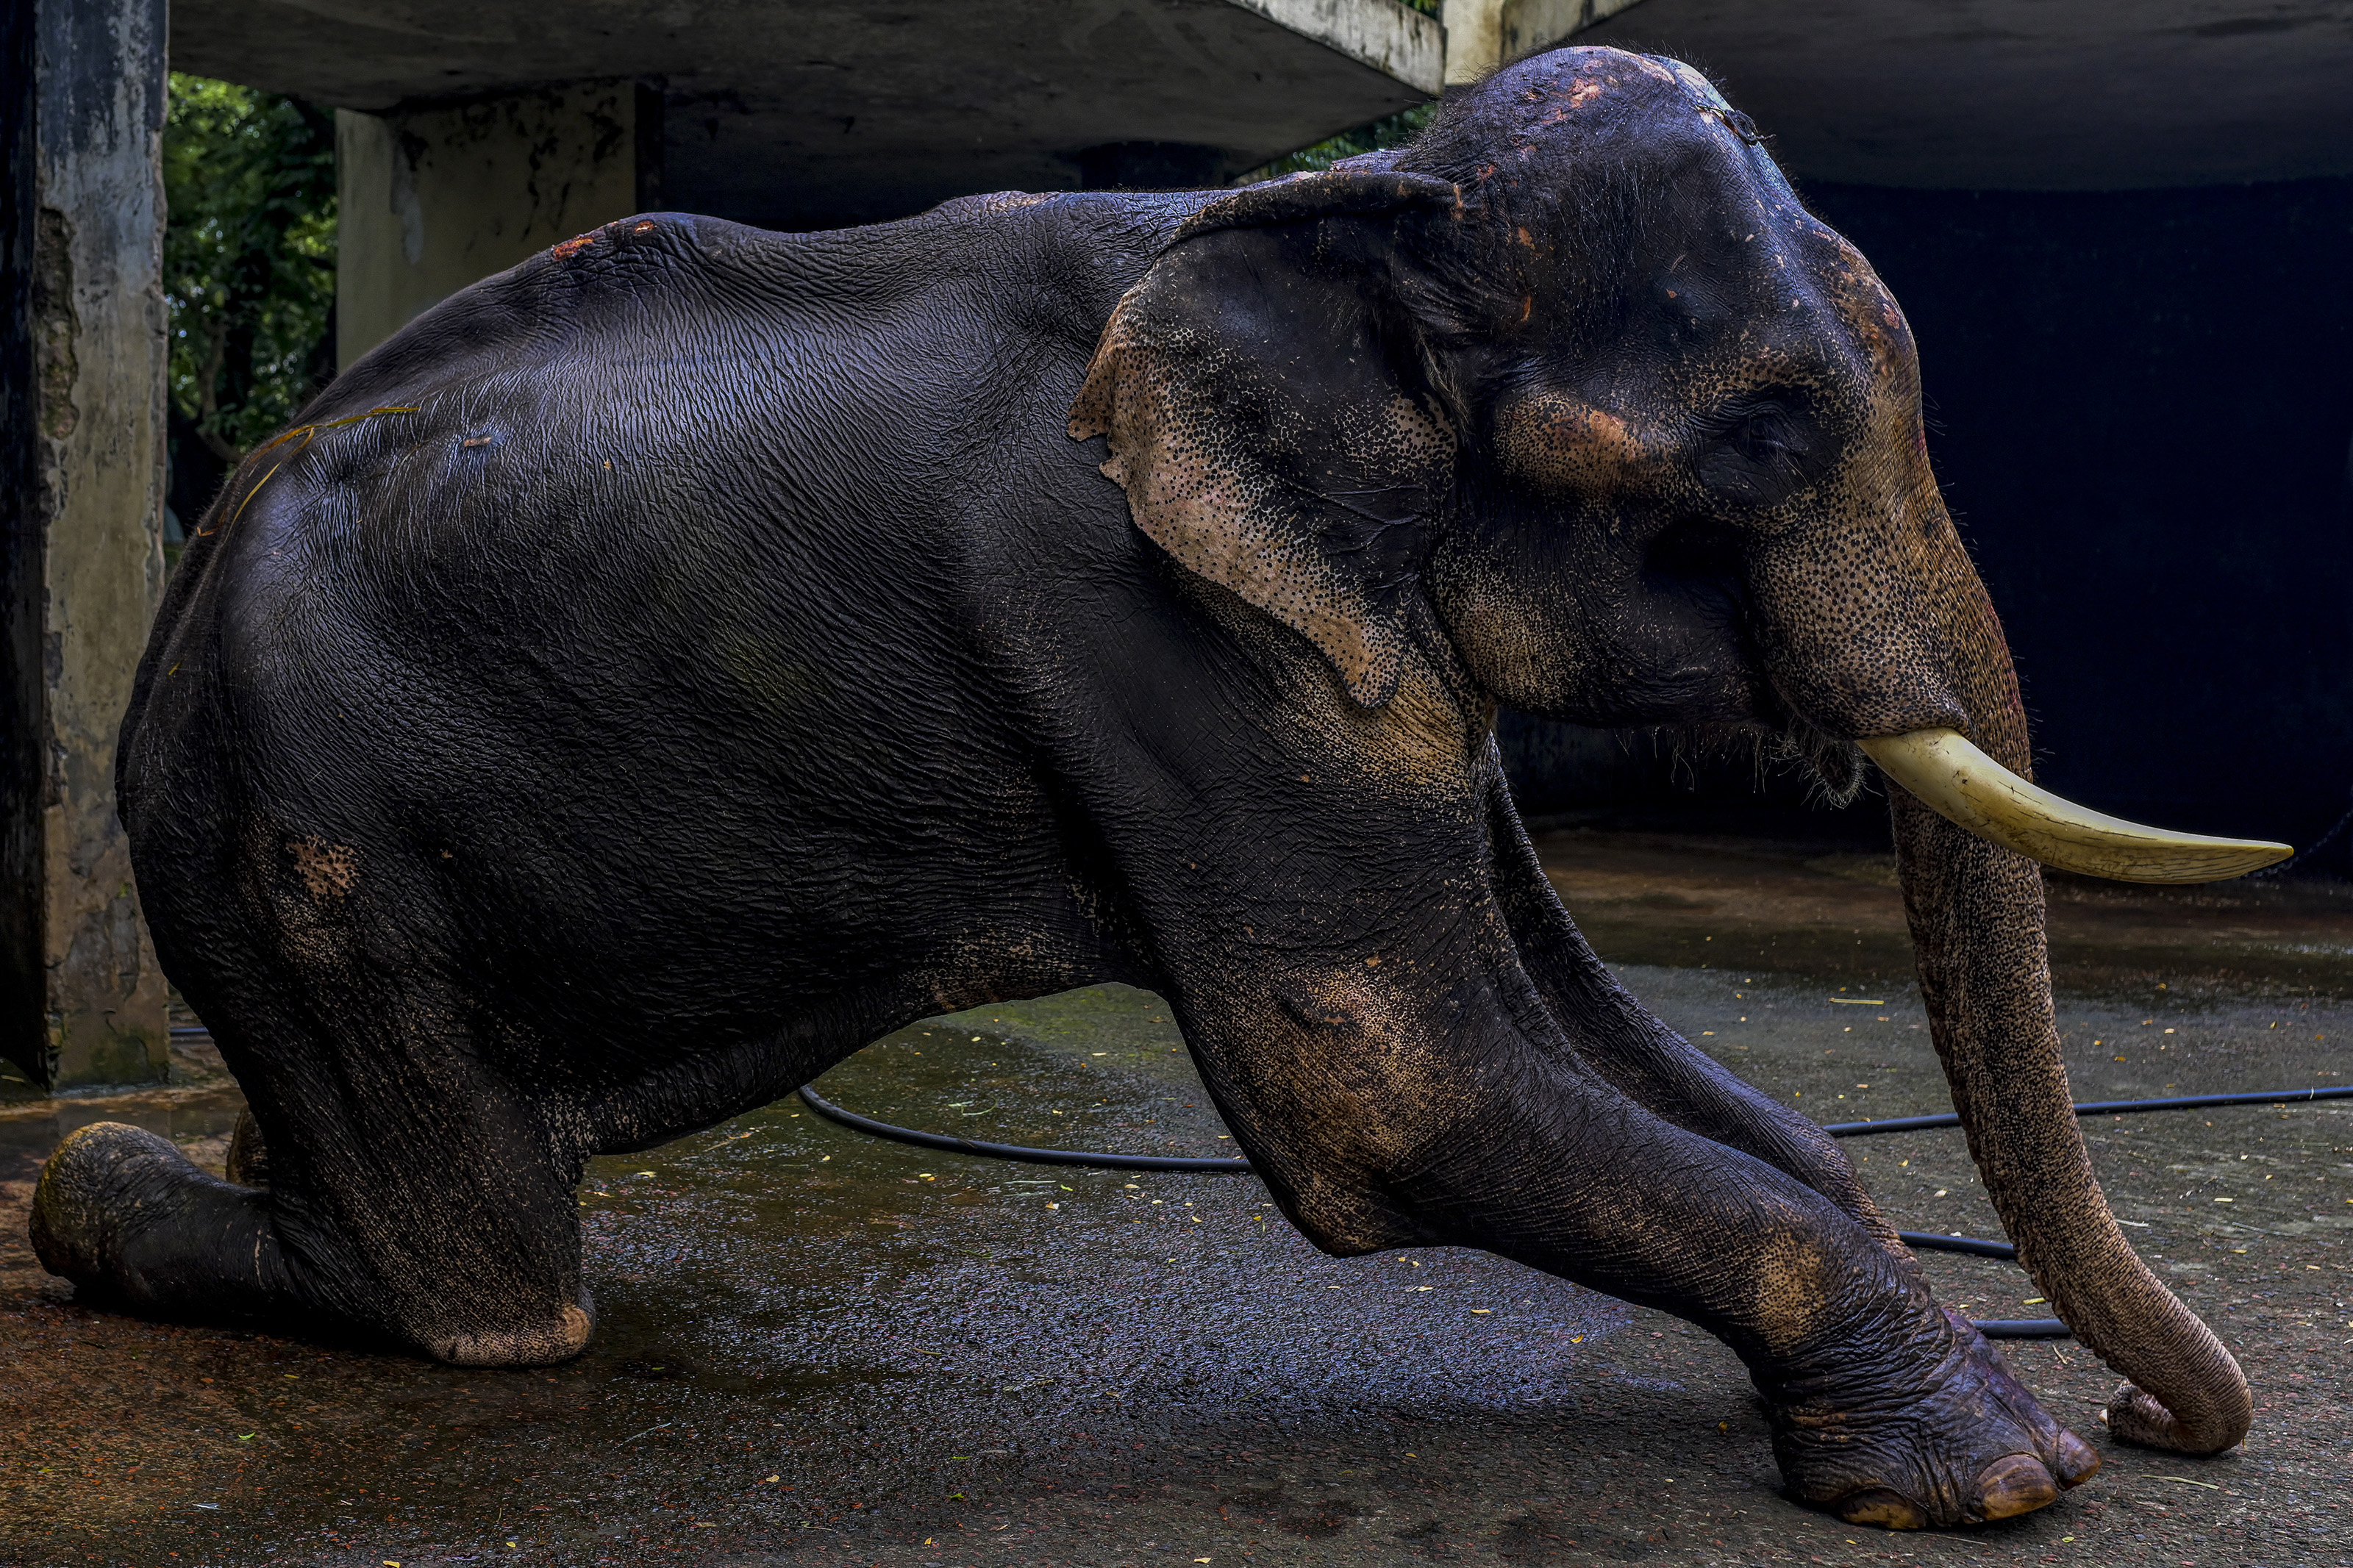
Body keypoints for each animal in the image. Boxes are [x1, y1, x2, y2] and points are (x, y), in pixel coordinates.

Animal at [32, 45, 2287, 1530]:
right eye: (1762, 431)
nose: (2166, 1427)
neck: (1357, 200)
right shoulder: (1137, 616)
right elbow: (1385, 1068)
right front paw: (2004, 1471)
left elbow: (1588, 1024)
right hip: (297, 827)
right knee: (481, 1295)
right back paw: (102, 1201)